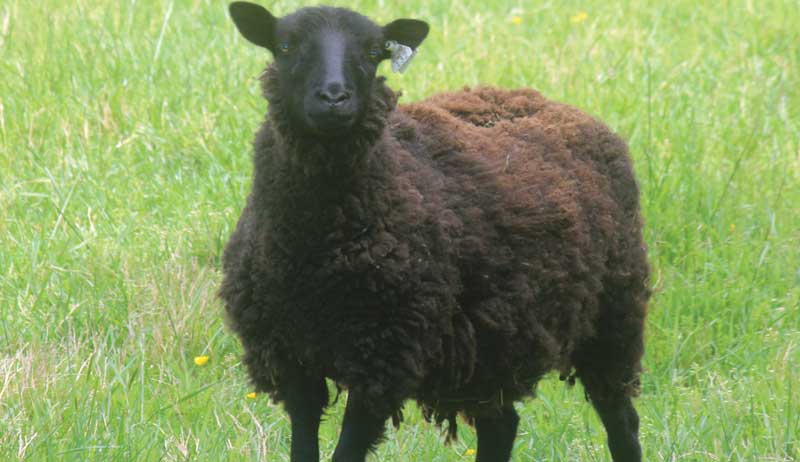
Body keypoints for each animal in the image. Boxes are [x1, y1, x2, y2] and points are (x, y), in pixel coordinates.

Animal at [219, 3, 650, 462]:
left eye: (373, 52)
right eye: (285, 46)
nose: (334, 98)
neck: (314, 248)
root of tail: (549, 101)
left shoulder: (384, 358)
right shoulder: (291, 359)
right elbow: (304, 446)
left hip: (614, 312)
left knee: (621, 420)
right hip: (494, 337)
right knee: (501, 425)